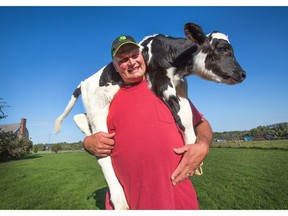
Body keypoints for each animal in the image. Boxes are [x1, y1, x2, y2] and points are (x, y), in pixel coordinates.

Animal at [54, 22, 245, 210]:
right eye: (222, 49)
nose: (243, 74)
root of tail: (84, 83)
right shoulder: (161, 81)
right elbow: (182, 117)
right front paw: (193, 159)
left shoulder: (181, 86)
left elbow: (188, 115)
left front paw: (194, 156)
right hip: (98, 111)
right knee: (103, 156)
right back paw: (119, 200)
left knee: (81, 119)